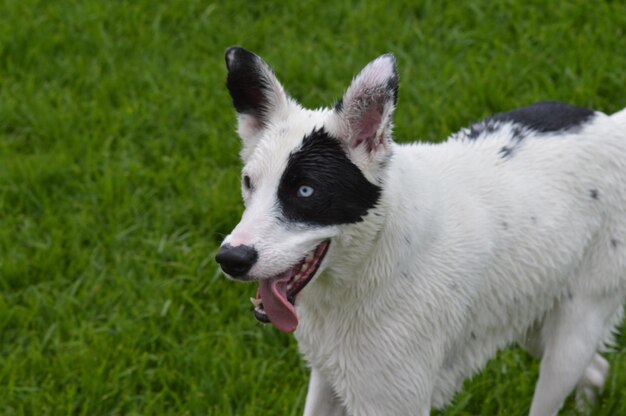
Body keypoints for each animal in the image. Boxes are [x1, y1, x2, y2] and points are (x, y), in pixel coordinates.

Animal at [214, 47, 624, 414]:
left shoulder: (391, 401)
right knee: (598, 369)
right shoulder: (329, 380)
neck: (374, 259)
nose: (230, 259)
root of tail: (611, 126)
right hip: (533, 319)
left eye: (305, 191)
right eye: (248, 182)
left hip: (574, 331)